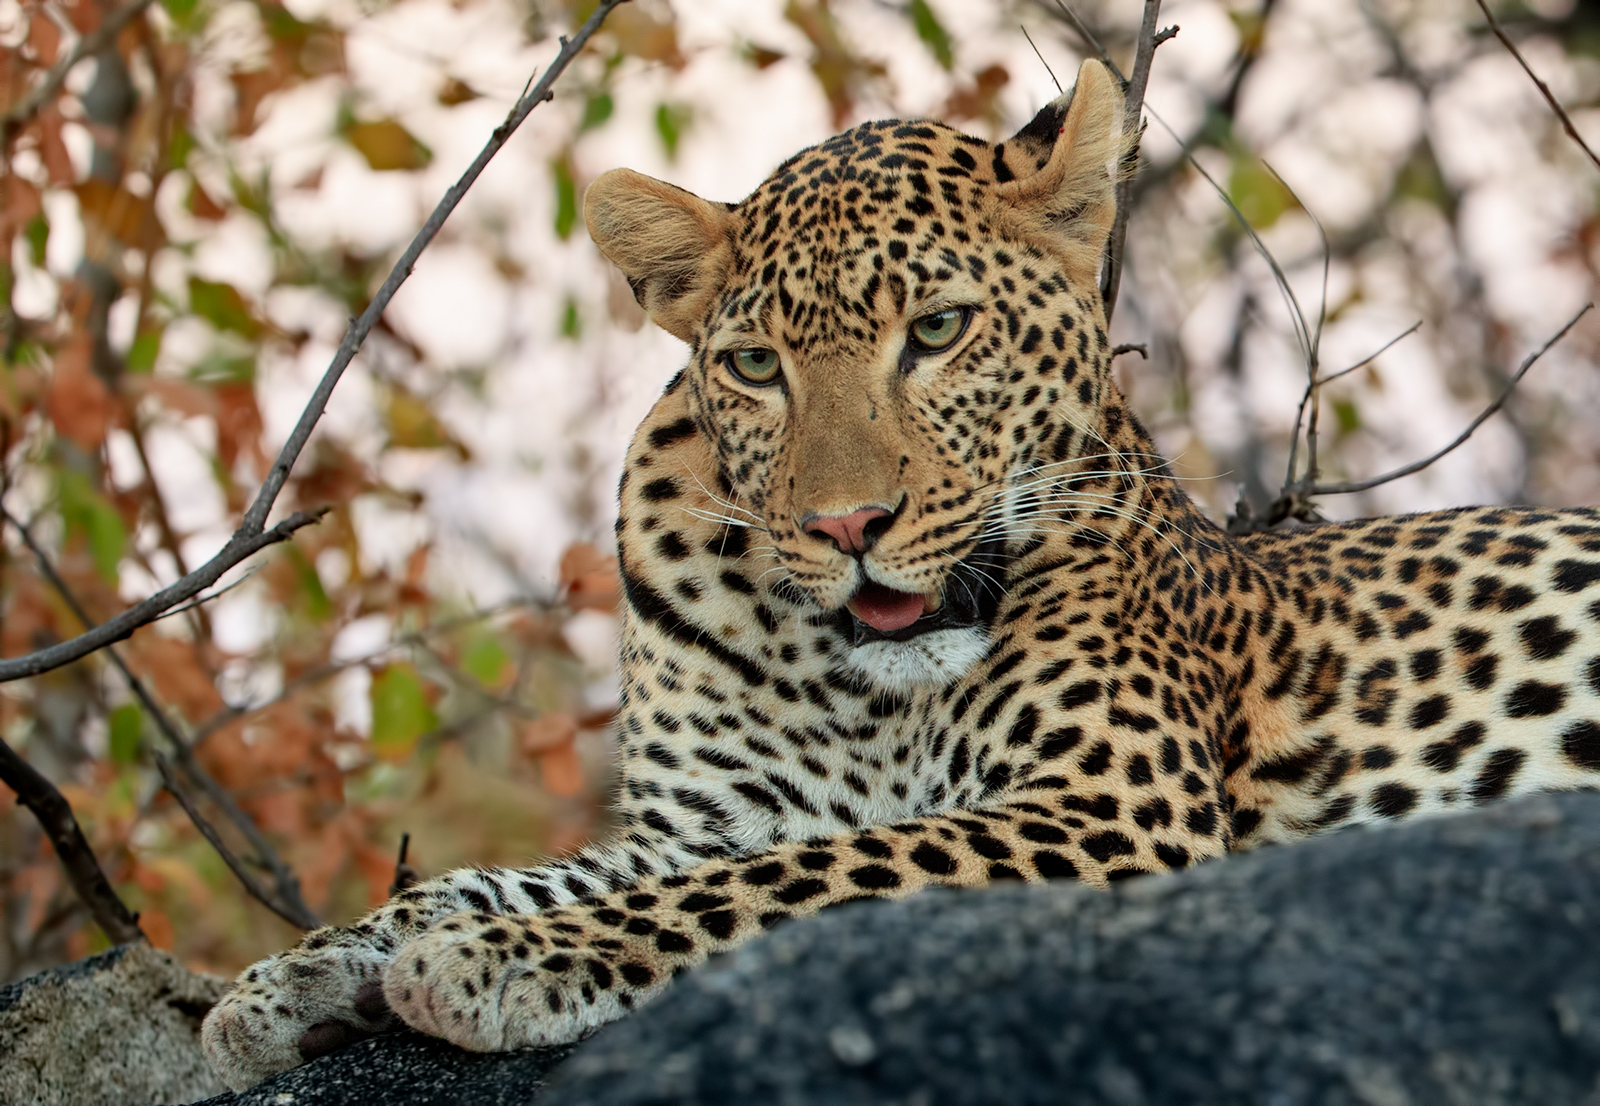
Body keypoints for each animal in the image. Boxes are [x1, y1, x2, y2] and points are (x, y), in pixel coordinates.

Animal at [202, 59, 1600, 1091]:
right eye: (755, 366)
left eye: (935, 330)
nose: (846, 523)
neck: (850, 682)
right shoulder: (694, 819)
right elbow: (480, 873)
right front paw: (285, 981)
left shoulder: (1106, 804)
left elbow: (791, 881)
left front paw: (498, 956)